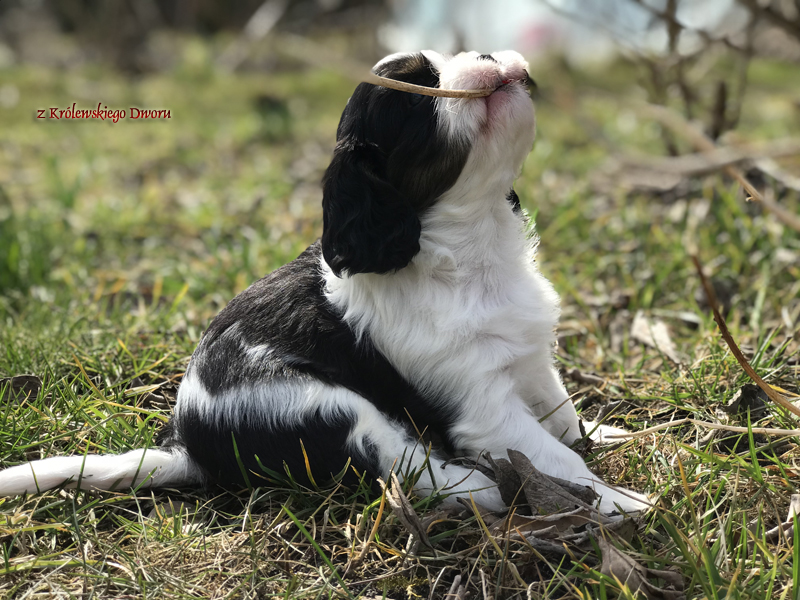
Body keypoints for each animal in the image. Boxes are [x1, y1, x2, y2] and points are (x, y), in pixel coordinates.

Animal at [0, 50, 648, 515]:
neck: (468, 248)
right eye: (419, 95)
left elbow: (561, 416)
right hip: (334, 410)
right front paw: (619, 502)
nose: (489, 54)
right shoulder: (483, 405)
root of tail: (189, 449)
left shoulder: (530, 359)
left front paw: (601, 434)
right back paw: (489, 491)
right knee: (411, 469)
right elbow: (552, 457)